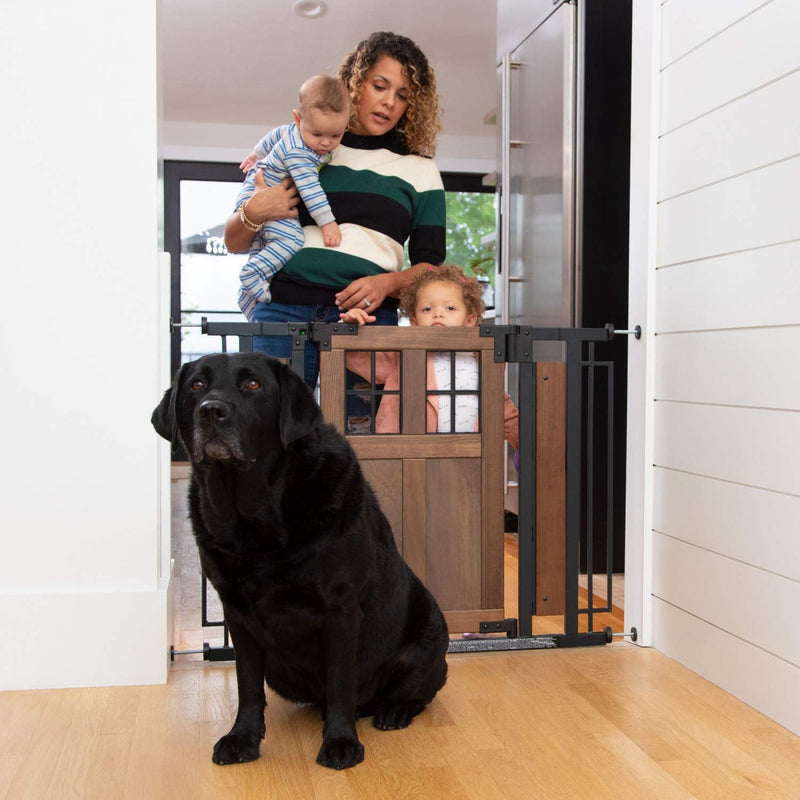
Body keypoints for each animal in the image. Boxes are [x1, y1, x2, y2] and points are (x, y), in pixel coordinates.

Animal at [152, 354, 450, 772]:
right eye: (196, 386)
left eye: (253, 385)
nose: (211, 411)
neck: (255, 517)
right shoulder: (236, 613)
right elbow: (247, 685)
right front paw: (242, 738)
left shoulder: (341, 610)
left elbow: (340, 681)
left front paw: (340, 742)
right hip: (280, 671)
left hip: (429, 642)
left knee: (410, 693)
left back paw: (392, 711)